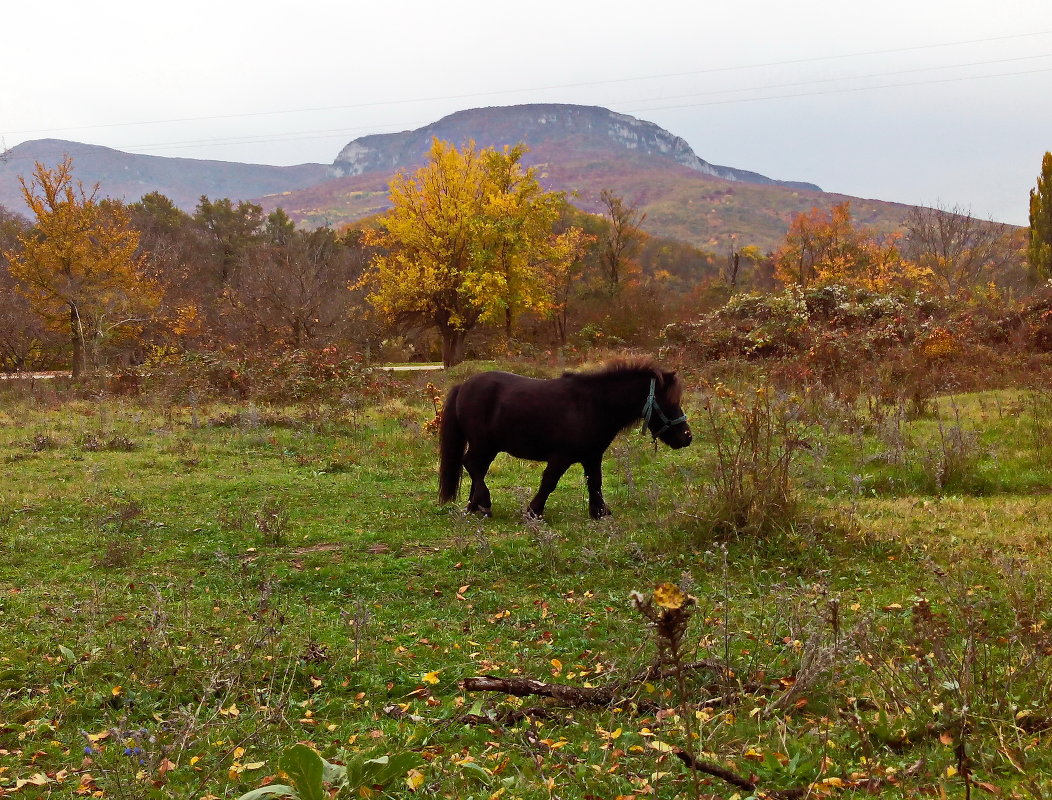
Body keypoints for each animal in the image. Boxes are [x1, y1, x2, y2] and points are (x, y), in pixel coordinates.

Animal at [437, 357, 690, 517]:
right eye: (669, 402)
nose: (687, 437)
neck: (593, 405)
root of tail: (463, 385)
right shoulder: (561, 456)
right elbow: (549, 482)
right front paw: (534, 511)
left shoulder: (592, 456)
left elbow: (595, 483)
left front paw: (600, 512)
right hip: (483, 444)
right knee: (471, 464)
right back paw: (484, 503)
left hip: (489, 447)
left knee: (477, 468)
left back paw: (474, 506)